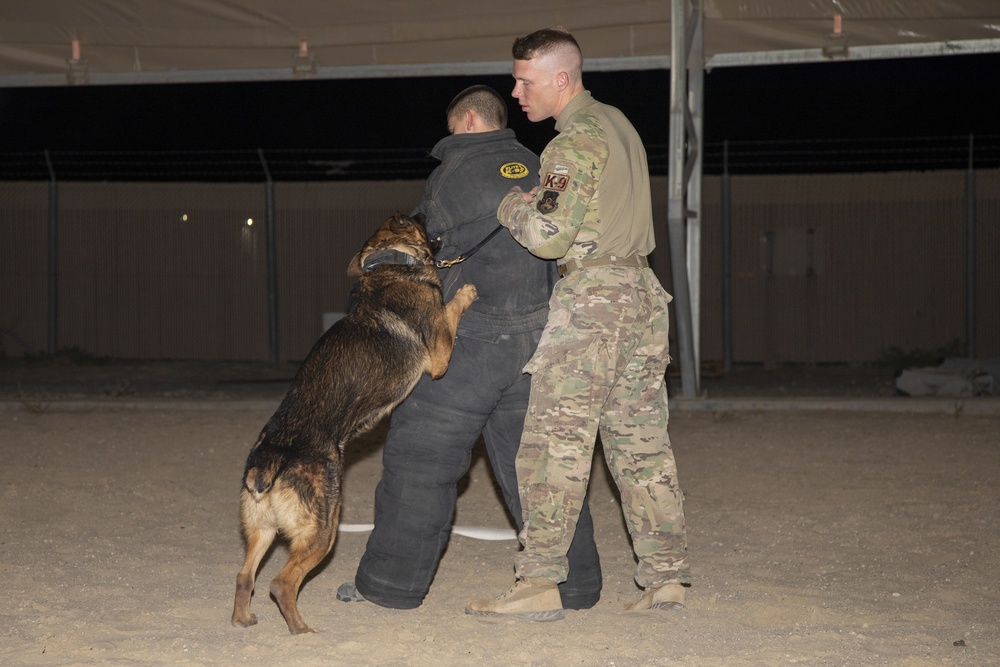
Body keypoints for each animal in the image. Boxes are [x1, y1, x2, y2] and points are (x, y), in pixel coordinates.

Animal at [230, 214, 476, 636]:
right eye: (414, 219)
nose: (427, 216)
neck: (388, 262)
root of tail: (271, 460)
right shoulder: (440, 356)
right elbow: (451, 311)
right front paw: (466, 293)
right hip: (323, 531)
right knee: (281, 583)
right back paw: (302, 632)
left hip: (262, 531)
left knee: (245, 577)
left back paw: (243, 620)